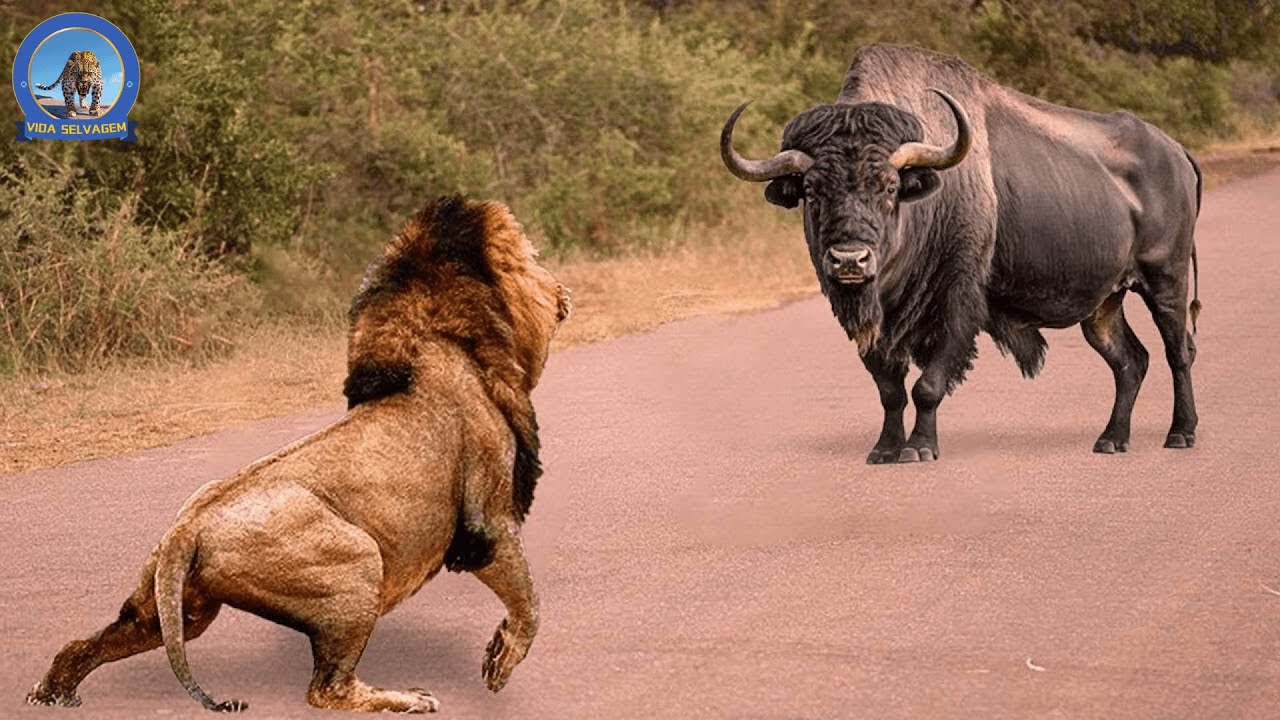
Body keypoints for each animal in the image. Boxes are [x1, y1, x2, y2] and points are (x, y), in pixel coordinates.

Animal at [26, 196, 571, 714]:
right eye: (533, 260)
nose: (564, 291)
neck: (446, 340)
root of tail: (187, 528)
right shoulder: (488, 524)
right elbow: (529, 601)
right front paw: (500, 662)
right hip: (359, 563)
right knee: (326, 689)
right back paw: (408, 699)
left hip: (170, 611)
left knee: (83, 645)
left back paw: (51, 693)